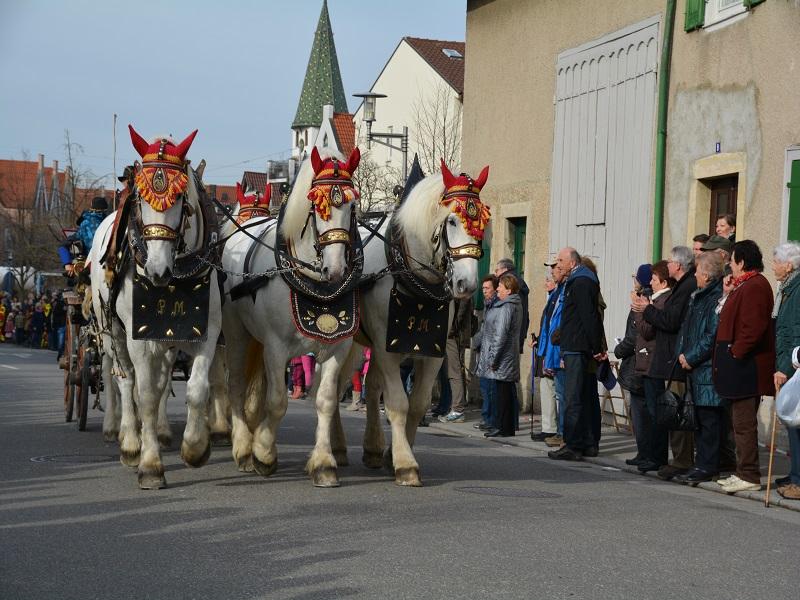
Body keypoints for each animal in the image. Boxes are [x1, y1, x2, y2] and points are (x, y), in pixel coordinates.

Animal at [88, 126, 222, 488]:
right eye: (140, 200)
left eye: (180, 199)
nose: (157, 271)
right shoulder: (138, 335)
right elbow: (144, 394)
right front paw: (150, 464)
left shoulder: (204, 329)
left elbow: (196, 388)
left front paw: (195, 448)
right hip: (112, 332)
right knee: (122, 379)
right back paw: (128, 440)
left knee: (161, 383)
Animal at [222, 145, 360, 488]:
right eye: (317, 206)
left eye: (352, 205)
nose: (335, 269)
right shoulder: (275, 347)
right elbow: (277, 402)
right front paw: (263, 452)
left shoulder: (337, 347)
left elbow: (325, 401)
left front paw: (324, 463)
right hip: (236, 333)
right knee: (236, 385)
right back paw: (243, 448)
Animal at [338, 162, 488, 486]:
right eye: (452, 221)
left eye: (483, 221)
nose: (467, 284)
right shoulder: (388, 349)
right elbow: (398, 403)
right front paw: (405, 464)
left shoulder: (433, 352)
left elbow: (417, 405)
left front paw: (392, 455)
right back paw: (337, 448)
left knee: (369, 387)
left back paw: (372, 449)